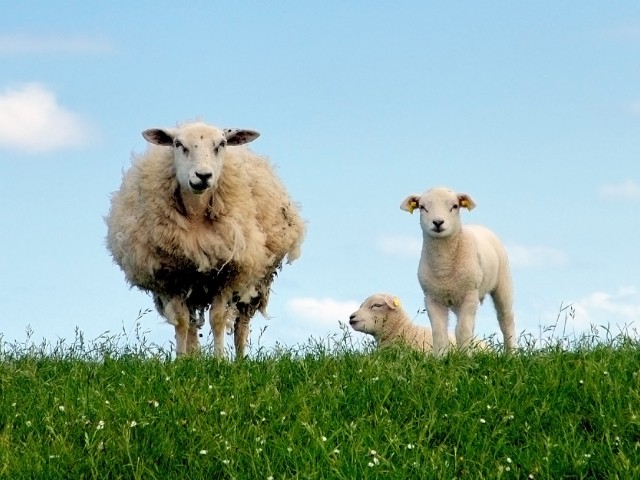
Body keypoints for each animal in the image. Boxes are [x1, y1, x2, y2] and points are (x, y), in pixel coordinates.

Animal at [106, 122, 306, 358]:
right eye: (178, 144)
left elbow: (218, 319)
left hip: (255, 281)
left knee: (241, 324)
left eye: (222, 144)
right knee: (192, 324)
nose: (203, 176)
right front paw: (181, 359)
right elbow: (181, 322)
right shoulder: (172, 277)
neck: (196, 213)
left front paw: (219, 359)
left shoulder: (227, 274)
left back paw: (240, 359)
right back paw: (194, 356)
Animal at [400, 187, 516, 356]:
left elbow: (462, 330)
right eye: (422, 207)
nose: (438, 222)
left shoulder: (469, 295)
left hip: (502, 283)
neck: (444, 265)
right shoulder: (432, 298)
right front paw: (441, 357)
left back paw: (511, 353)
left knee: (506, 319)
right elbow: (439, 331)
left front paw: (464, 357)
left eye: (454, 206)